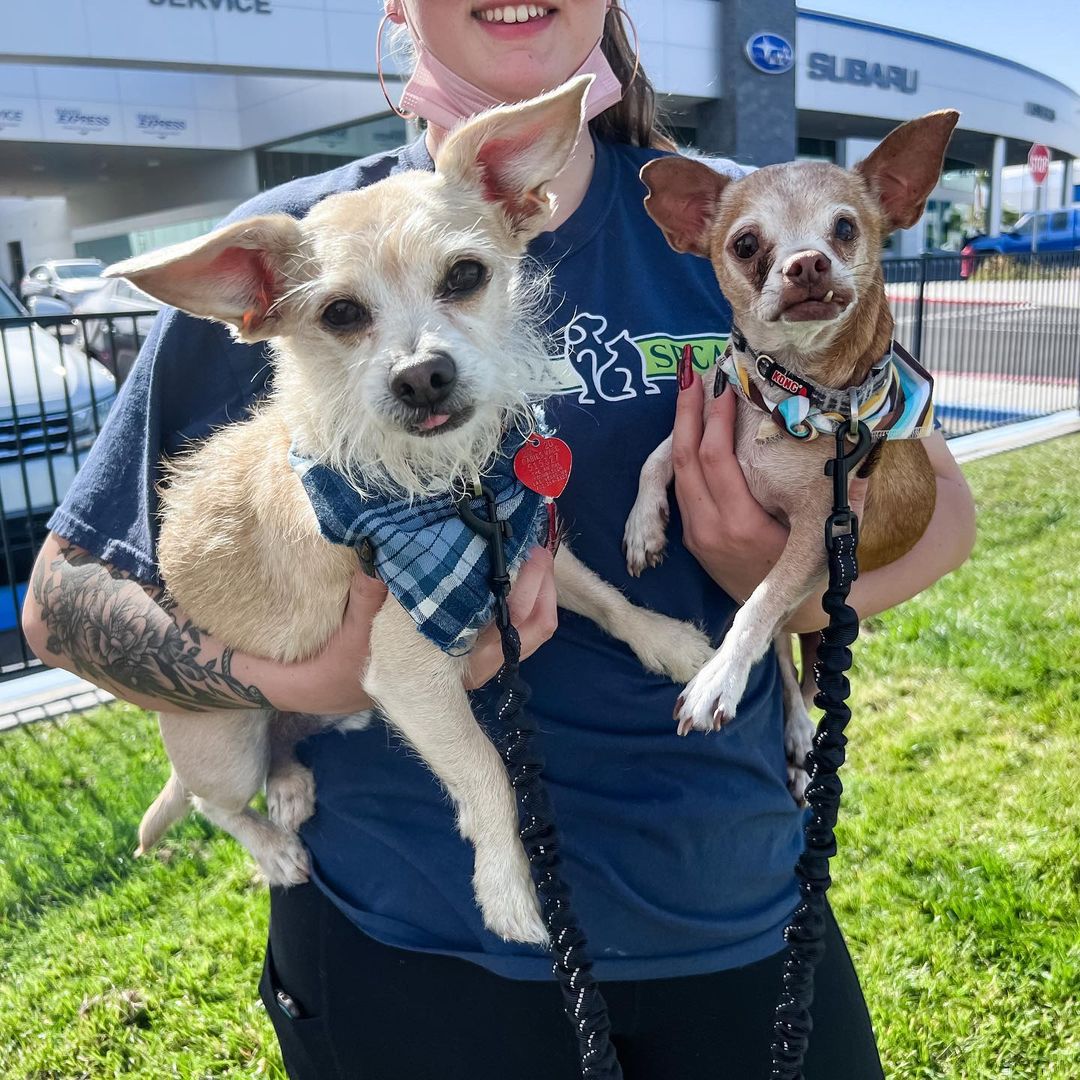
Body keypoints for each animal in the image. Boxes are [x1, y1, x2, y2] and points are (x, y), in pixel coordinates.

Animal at [626, 113, 963, 799]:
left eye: (846, 228)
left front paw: (717, 677)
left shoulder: (817, 532)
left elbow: (758, 602)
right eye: (746, 244)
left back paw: (803, 731)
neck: (791, 391)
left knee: (799, 669)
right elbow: (655, 457)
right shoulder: (704, 425)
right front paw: (643, 527)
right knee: (784, 663)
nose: (807, 262)